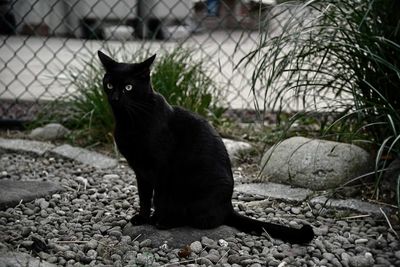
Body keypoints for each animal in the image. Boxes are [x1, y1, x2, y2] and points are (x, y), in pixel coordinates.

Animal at [98, 50, 314, 245]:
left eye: (128, 87)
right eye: (109, 85)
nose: (115, 97)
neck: (130, 121)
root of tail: (228, 206)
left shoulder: (161, 169)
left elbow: (159, 198)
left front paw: (159, 220)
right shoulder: (140, 171)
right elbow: (143, 197)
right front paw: (142, 218)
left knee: (205, 220)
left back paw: (170, 220)